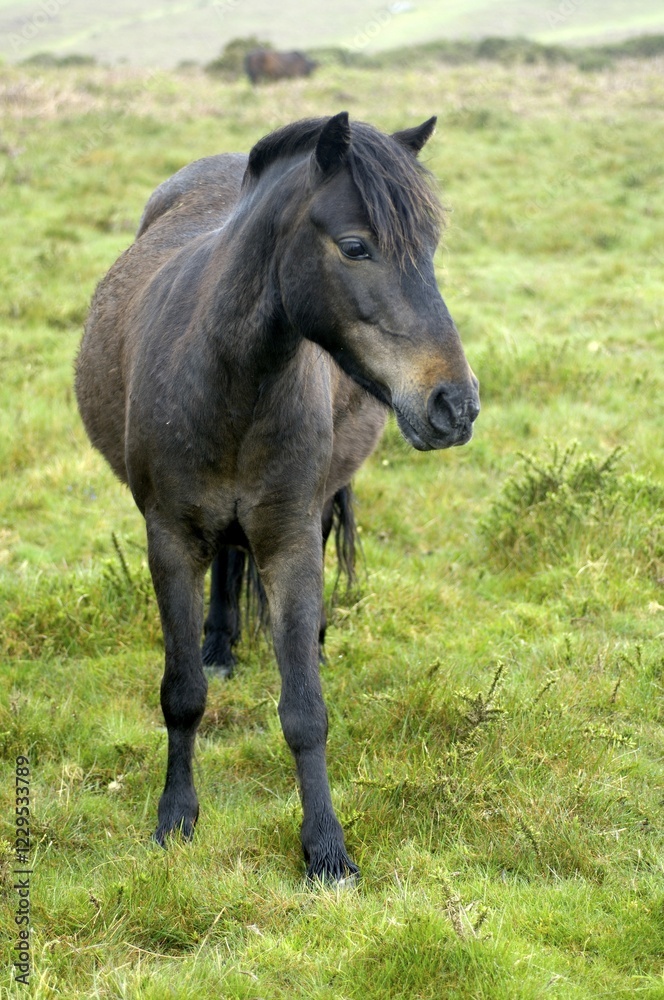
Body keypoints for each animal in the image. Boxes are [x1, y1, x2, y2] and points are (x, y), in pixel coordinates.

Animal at [75, 112, 480, 882]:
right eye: (355, 247)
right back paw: (221, 647)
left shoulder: (290, 539)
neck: (229, 375)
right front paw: (175, 819)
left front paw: (326, 849)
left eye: (430, 249)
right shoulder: (169, 541)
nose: (455, 405)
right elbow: (182, 696)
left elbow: (304, 711)